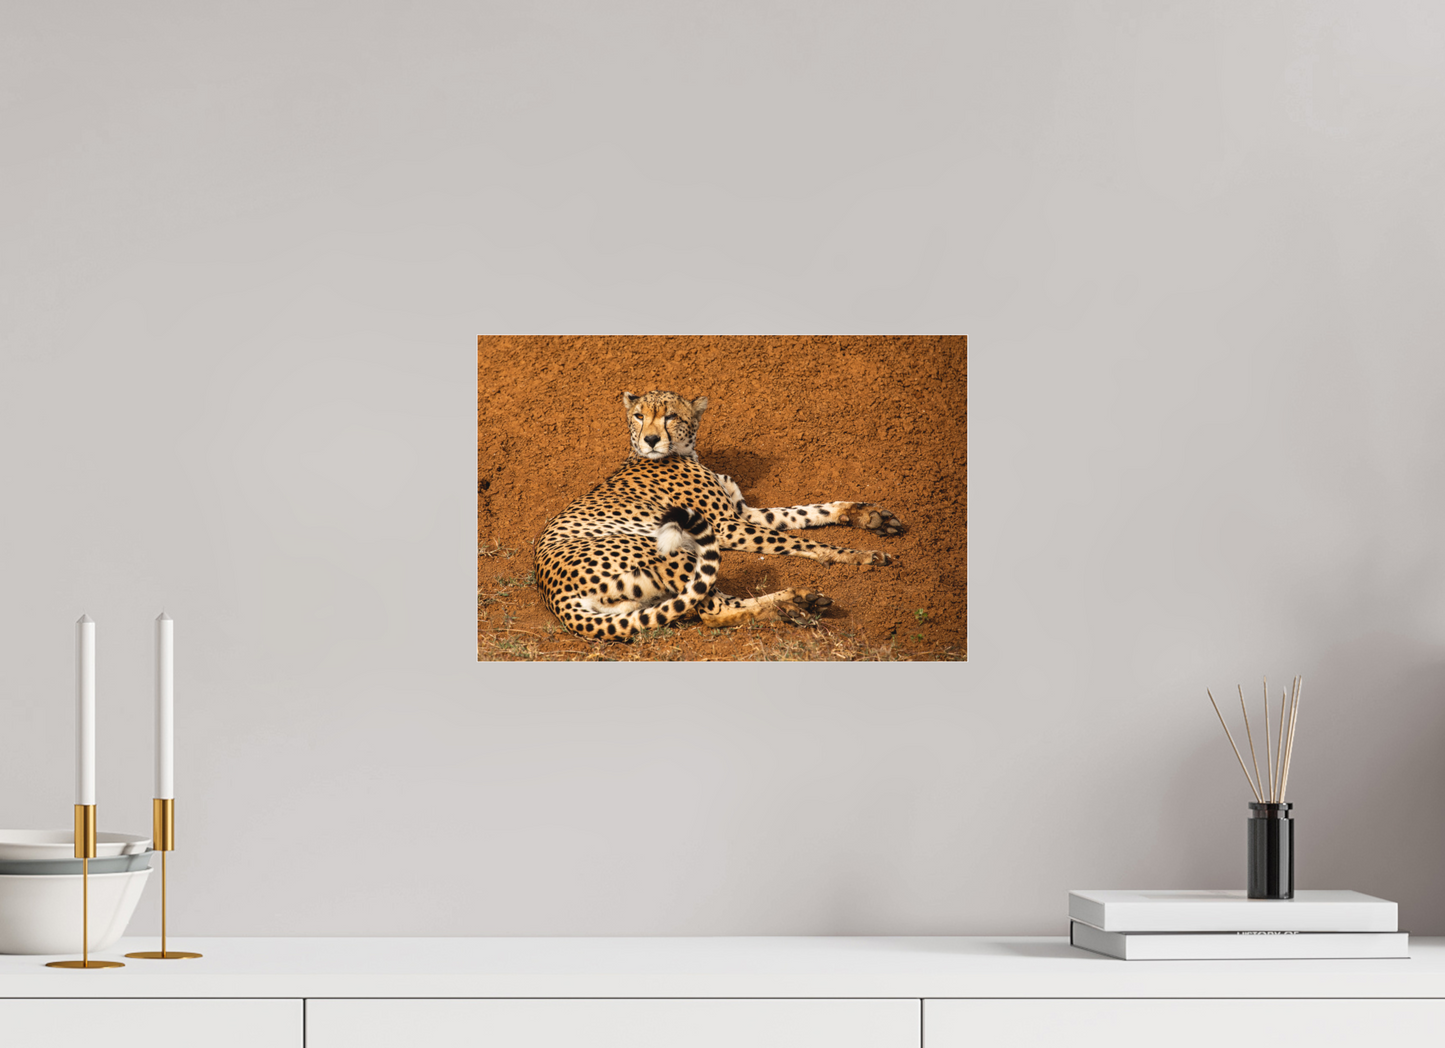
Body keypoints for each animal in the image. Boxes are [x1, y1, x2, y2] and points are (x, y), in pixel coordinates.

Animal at [533, 390, 906, 641]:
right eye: (639, 416)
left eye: (670, 416)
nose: (651, 439)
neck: (683, 452)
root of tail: (553, 595)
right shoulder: (725, 526)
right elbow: (800, 539)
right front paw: (857, 555)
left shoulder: (744, 513)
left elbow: (804, 512)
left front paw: (867, 515)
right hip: (668, 550)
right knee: (713, 611)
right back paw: (790, 606)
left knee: (711, 603)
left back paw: (797, 601)